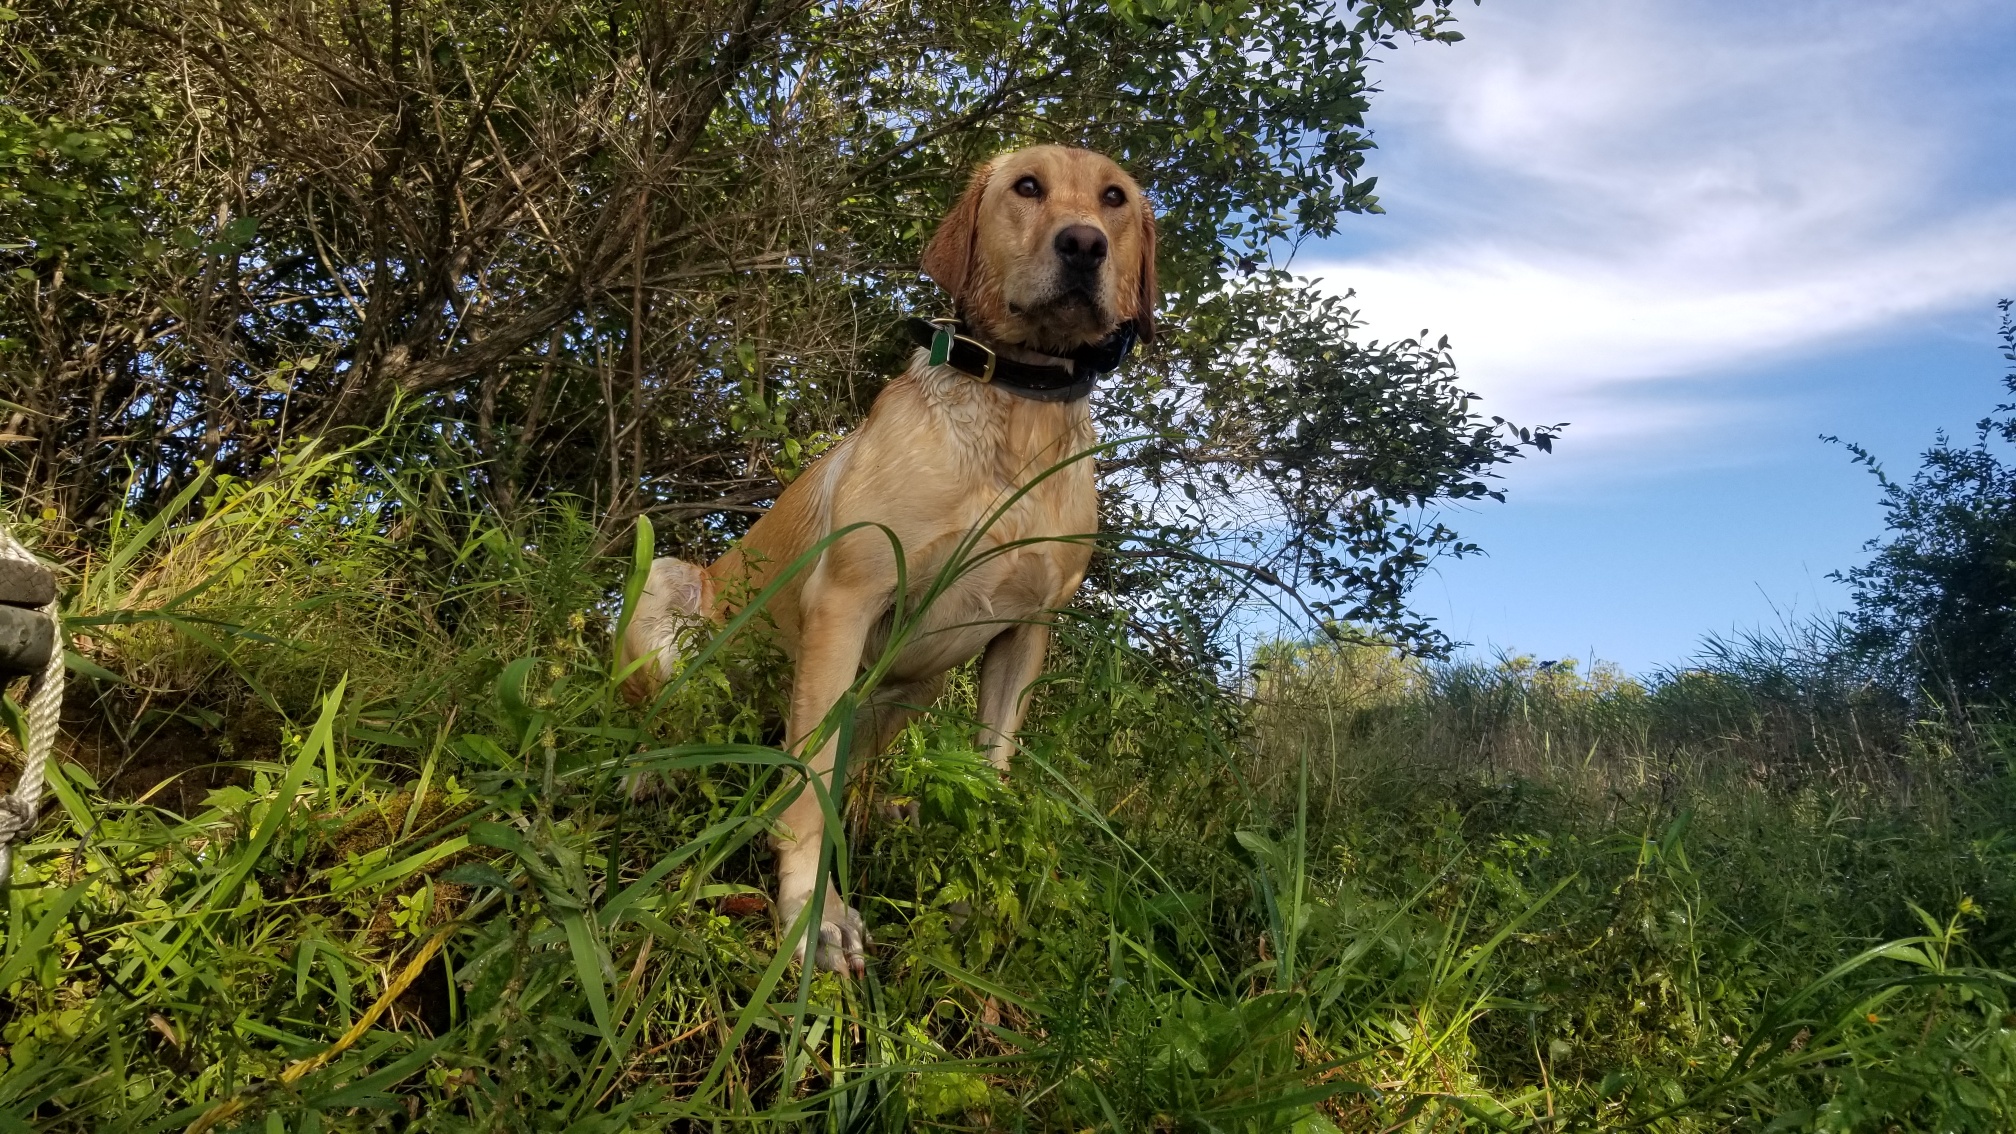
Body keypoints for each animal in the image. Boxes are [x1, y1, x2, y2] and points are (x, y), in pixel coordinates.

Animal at [612, 143, 1161, 972]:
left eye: (1115, 199)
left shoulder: (1023, 633)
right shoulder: (847, 600)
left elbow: (990, 771)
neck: (1017, 417)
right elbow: (808, 786)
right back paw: (648, 775)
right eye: (1027, 186)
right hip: (671, 592)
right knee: (663, 724)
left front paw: (970, 896)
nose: (1083, 244)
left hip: (909, 691)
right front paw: (814, 915)